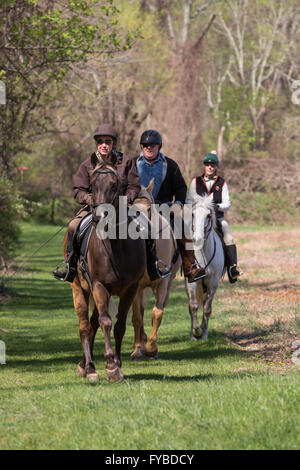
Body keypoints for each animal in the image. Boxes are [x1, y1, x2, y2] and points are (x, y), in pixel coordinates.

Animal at [65, 158, 146, 382]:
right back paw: (90, 368)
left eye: (114, 185)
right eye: (92, 185)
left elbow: (119, 326)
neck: (115, 246)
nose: (100, 216)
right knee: (85, 325)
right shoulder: (100, 286)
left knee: (92, 324)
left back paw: (85, 364)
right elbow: (106, 322)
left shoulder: (130, 289)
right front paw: (110, 366)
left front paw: (118, 364)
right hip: (80, 288)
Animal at [131, 181, 182, 360]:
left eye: (148, 208)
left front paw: (151, 348)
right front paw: (139, 348)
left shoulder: (163, 282)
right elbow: (137, 316)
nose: (139, 229)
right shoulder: (136, 286)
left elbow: (157, 313)